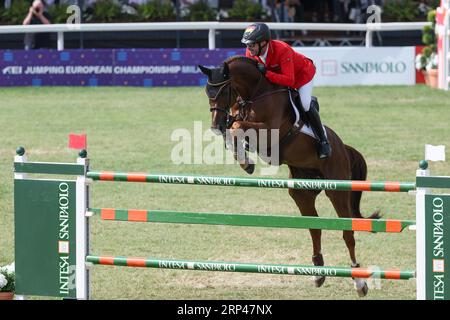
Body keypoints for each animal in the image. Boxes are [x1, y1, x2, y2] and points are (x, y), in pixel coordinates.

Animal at [200, 55, 380, 298]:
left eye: (222, 91)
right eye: (207, 91)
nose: (215, 125)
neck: (255, 93)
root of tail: (343, 147)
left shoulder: (268, 132)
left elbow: (238, 125)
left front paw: (245, 160)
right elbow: (234, 128)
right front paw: (243, 159)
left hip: (337, 190)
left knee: (347, 232)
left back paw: (359, 282)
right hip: (302, 192)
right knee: (315, 228)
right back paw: (318, 272)